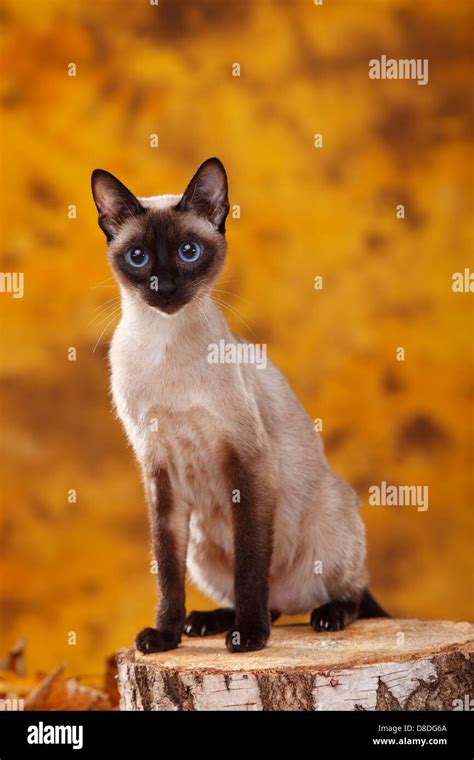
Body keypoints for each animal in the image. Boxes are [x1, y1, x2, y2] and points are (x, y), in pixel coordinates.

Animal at [91, 159, 388, 652]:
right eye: (138, 257)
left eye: (188, 251)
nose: (164, 287)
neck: (163, 346)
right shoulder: (159, 474)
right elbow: (166, 572)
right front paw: (165, 635)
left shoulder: (248, 464)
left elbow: (250, 564)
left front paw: (248, 638)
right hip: (200, 545)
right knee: (272, 601)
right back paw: (206, 622)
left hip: (329, 519)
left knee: (348, 596)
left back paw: (321, 616)